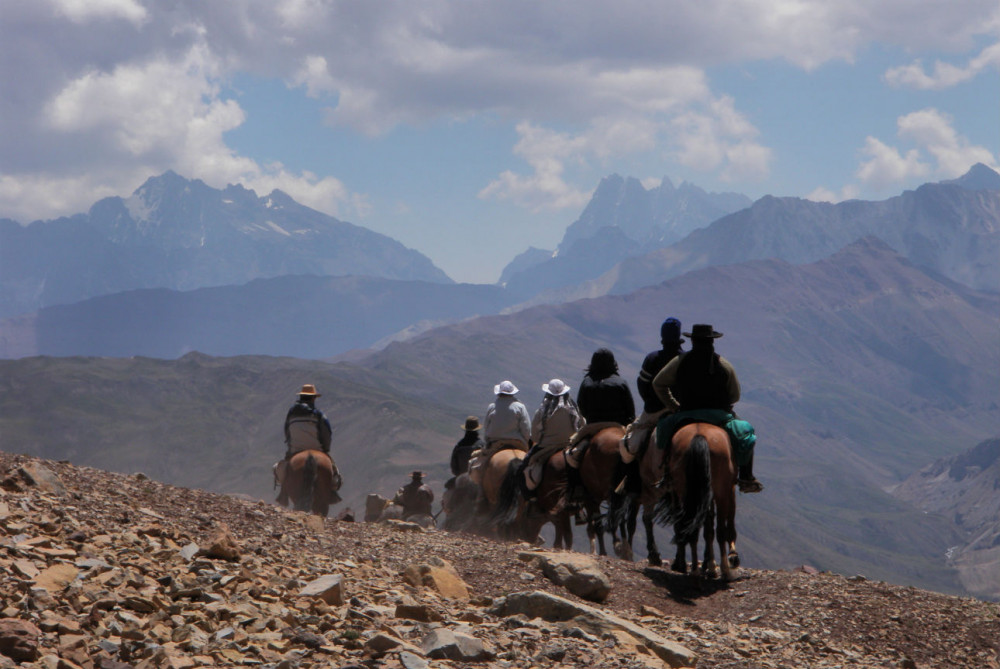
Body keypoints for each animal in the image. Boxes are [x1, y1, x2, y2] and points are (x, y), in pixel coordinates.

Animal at [656, 422, 744, 580]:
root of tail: (699, 435)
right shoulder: (729, 489)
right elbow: (726, 526)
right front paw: (730, 557)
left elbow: (707, 529)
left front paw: (709, 566)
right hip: (720, 492)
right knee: (720, 530)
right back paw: (725, 570)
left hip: (683, 492)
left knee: (688, 526)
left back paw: (692, 569)